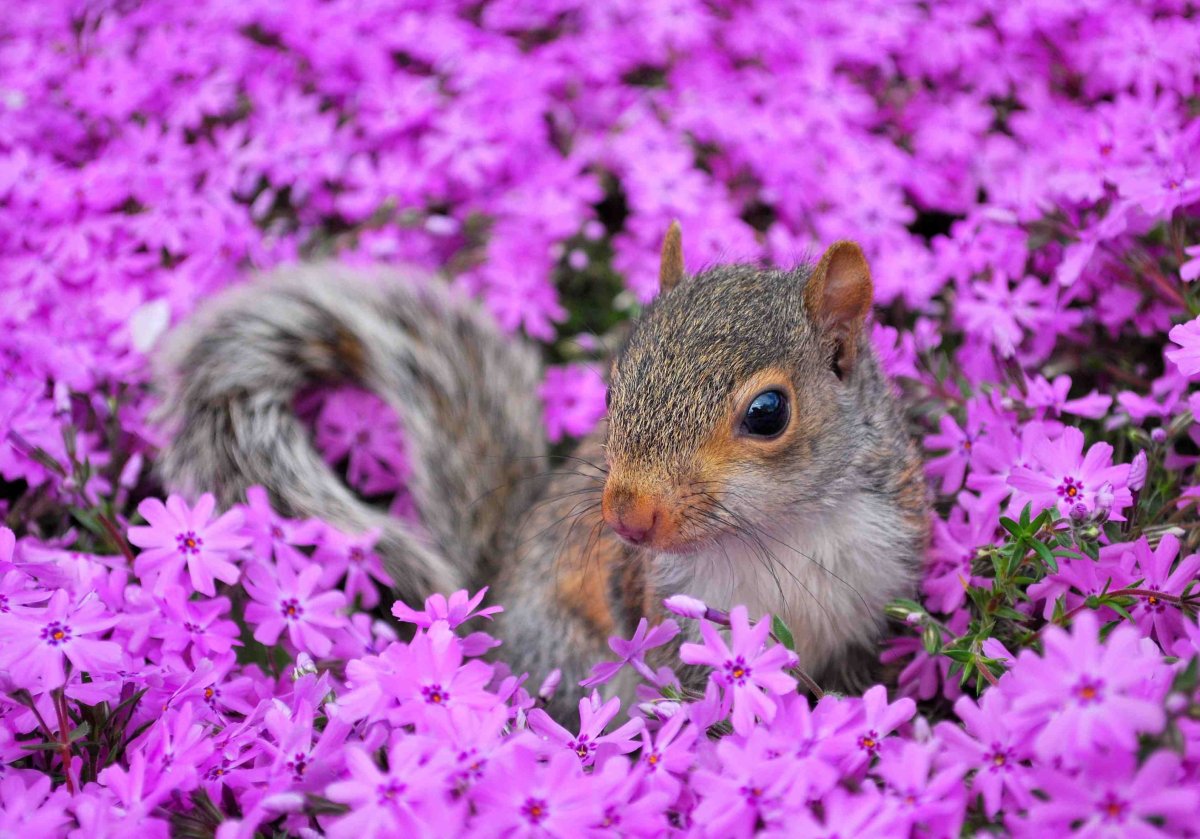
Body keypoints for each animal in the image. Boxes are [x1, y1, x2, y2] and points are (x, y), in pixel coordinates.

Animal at [155, 224, 929, 719]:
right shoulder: (666, 614)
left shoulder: (875, 593)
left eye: (769, 413)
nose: (627, 518)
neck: (781, 531)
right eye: (614, 388)